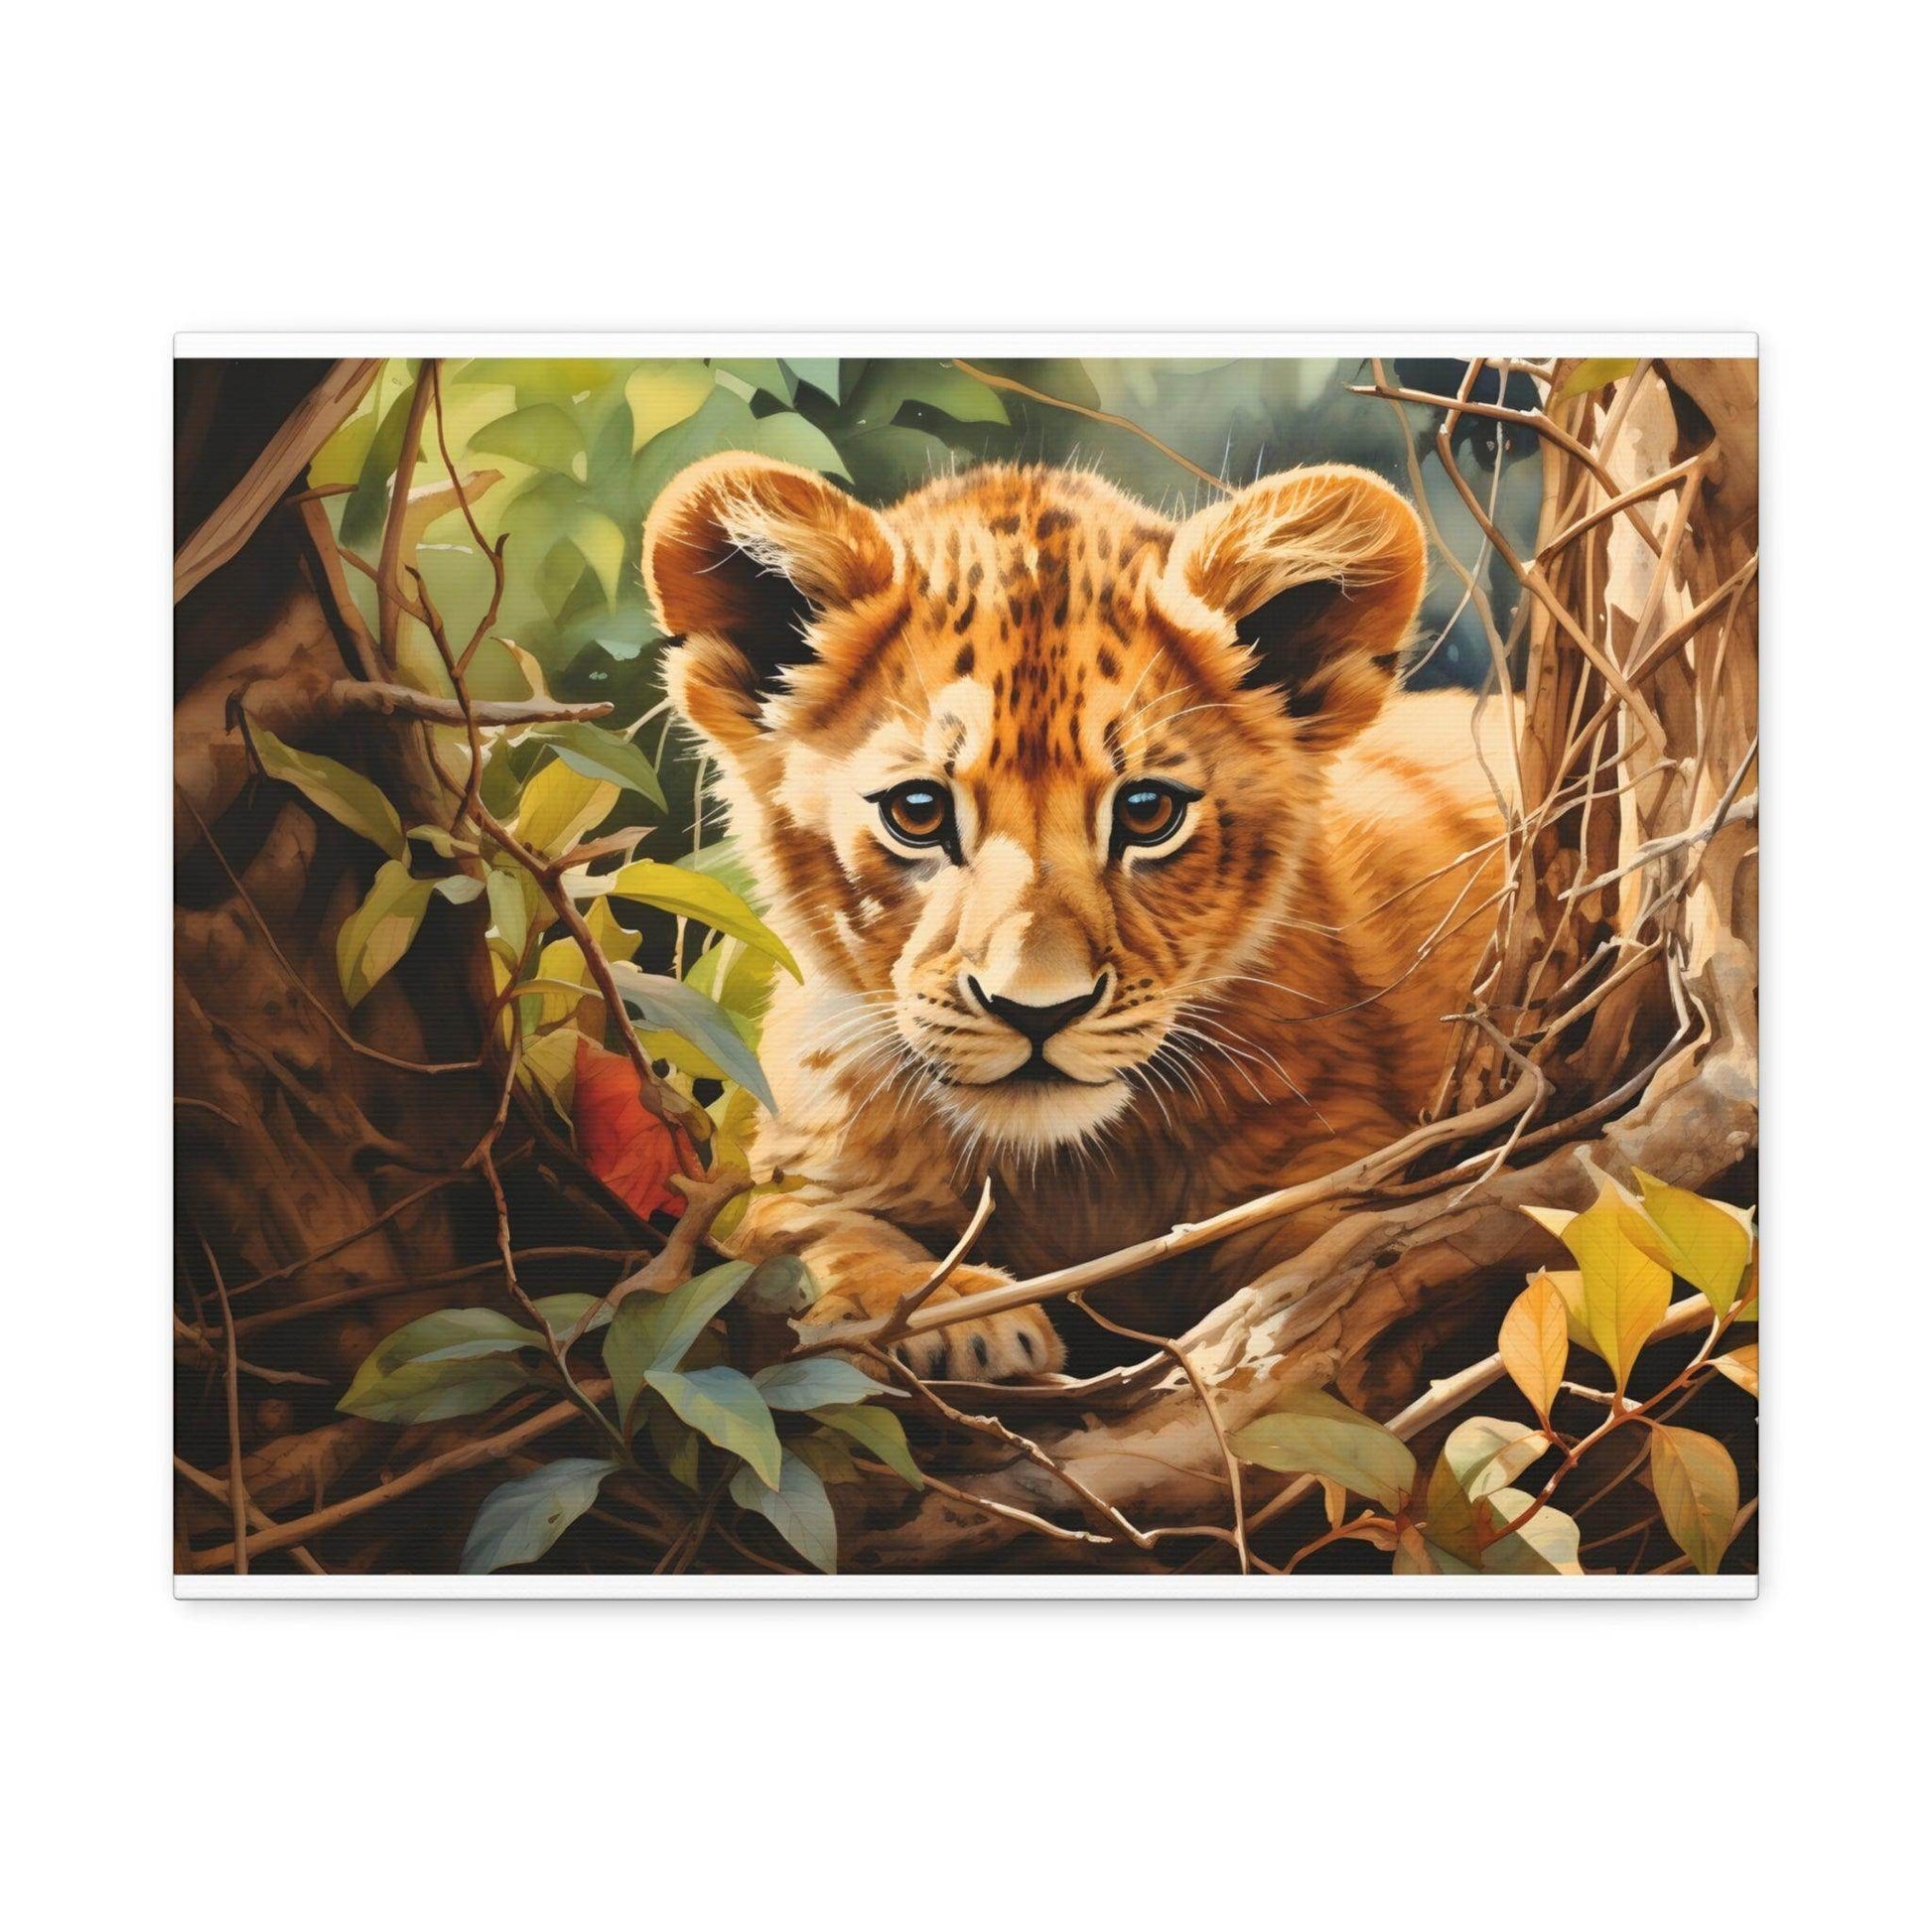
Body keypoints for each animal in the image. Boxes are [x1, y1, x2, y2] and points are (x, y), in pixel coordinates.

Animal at [642, 453, 1517, 1381]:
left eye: (1147, 812)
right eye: (917, 810)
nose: (1037, 1010)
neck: (1067, 1174)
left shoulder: (1343, 1156)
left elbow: (1346, 1249)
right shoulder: (798, 1168)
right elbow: (795, 1232)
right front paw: (945, 1313)